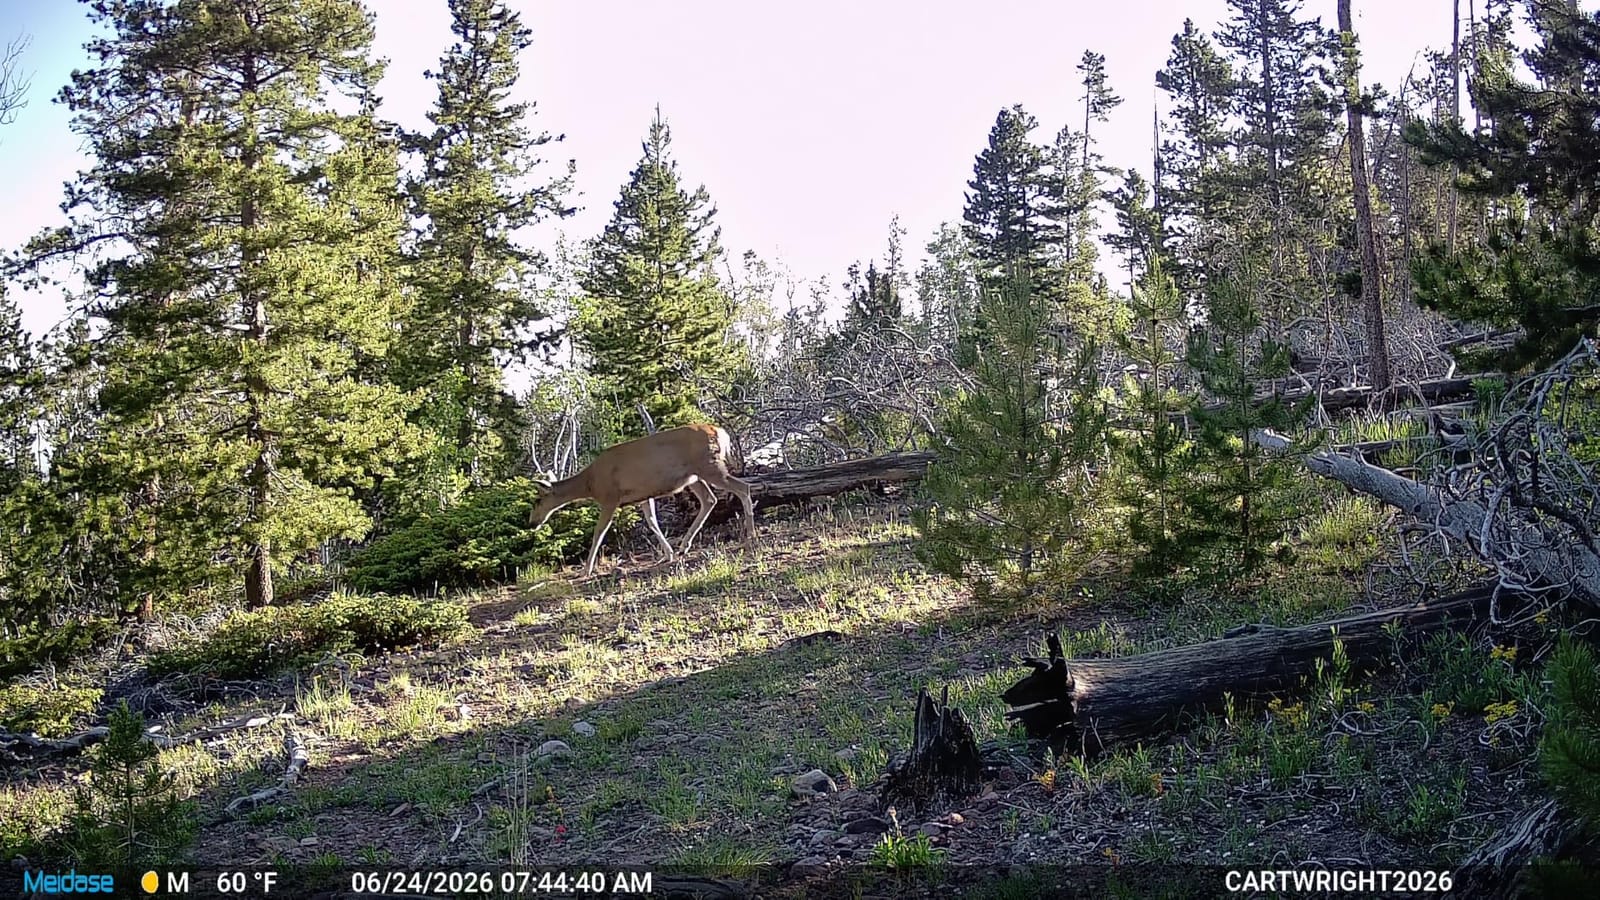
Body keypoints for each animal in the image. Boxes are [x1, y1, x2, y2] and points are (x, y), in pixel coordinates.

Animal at [529, 423, 757, 577]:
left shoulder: (610, 497)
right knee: (709, 499)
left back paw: (750, 535)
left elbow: (599, 532)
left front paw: (586, 570)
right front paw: (668, 554)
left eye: (537, 501)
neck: (591, 484)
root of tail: (719, 431)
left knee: (743, 488)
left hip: (709, 466)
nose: (531, 523)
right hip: (694, 476)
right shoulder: (643, 495)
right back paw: (684, 546)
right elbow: (652, 522)